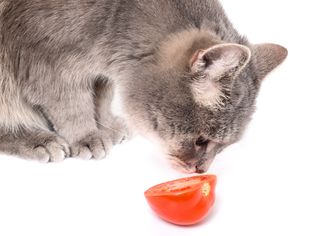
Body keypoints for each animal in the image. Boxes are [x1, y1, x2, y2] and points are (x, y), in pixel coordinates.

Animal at [0, 0, 288, 173]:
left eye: (225, 146)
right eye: (201, 141)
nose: (201, 170)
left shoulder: (102, 72)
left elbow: (102, 97)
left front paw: (106, 124)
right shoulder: (47, 62)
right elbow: (71, 106)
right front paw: (87, 136)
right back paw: (36, 139)